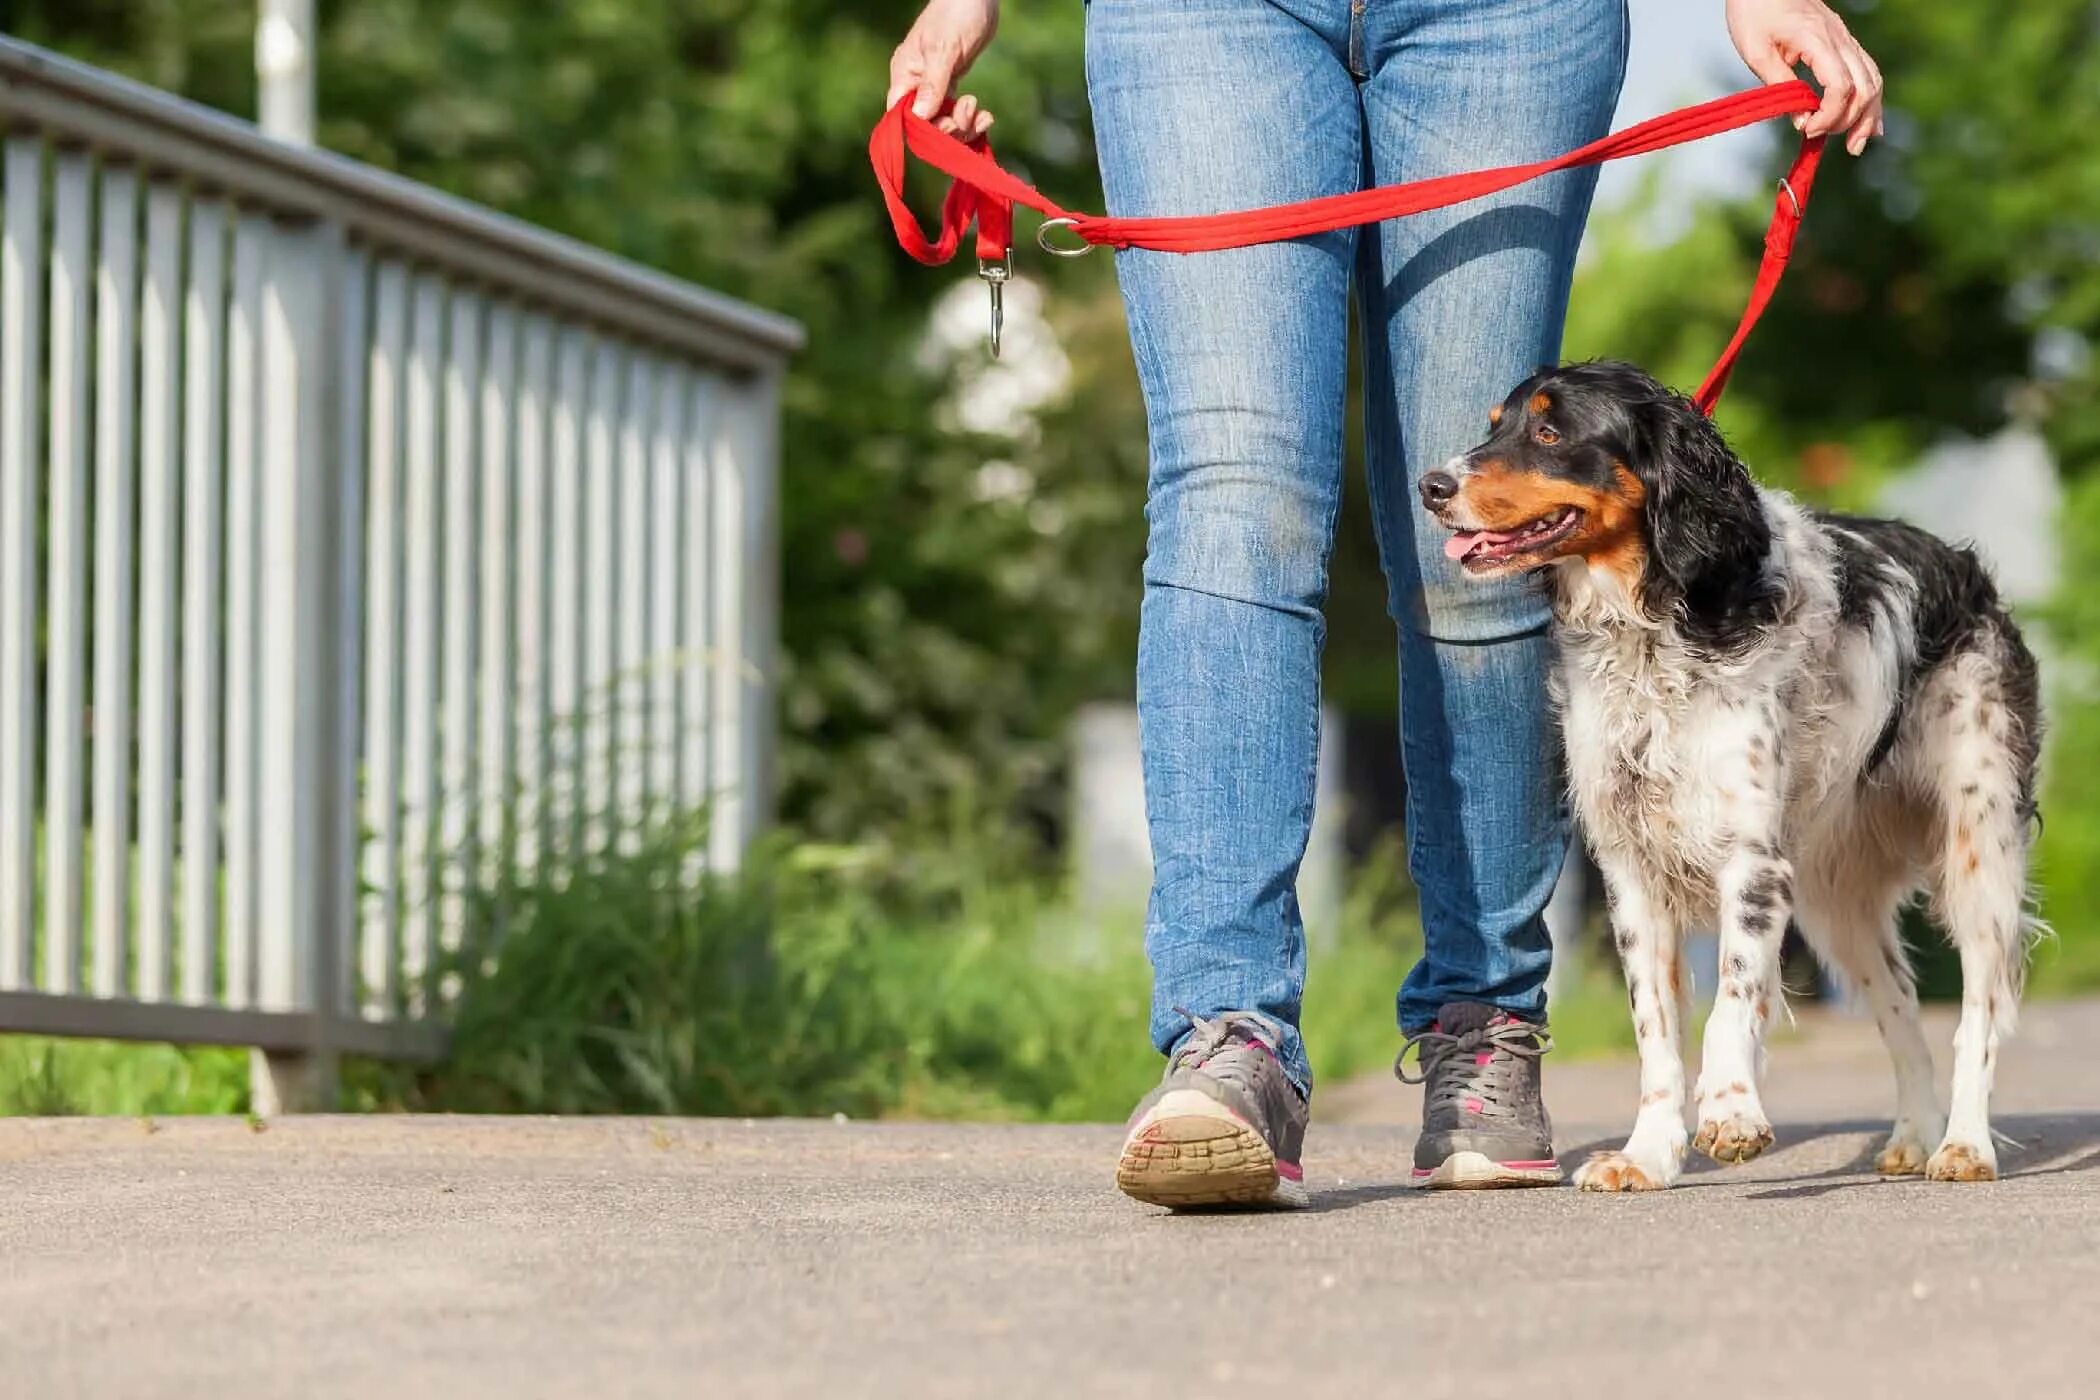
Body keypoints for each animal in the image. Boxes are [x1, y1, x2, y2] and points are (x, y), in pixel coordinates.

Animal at [1419, 361, 2041, 1192]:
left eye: (1549, 432)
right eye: (1495, 425)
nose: (1431, 485)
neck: (1655, 628)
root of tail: (1969, 572)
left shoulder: (1752, 860)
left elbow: (1733, 996)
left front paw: (1732, 1113)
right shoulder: (1632, 871)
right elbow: (1654, 1029)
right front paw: (1647, 1154)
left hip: (1979, 851)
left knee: (1980, 1010)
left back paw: (1964, 1144)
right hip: (1836, 900)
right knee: (1903, 1006)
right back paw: (1913, 1134)